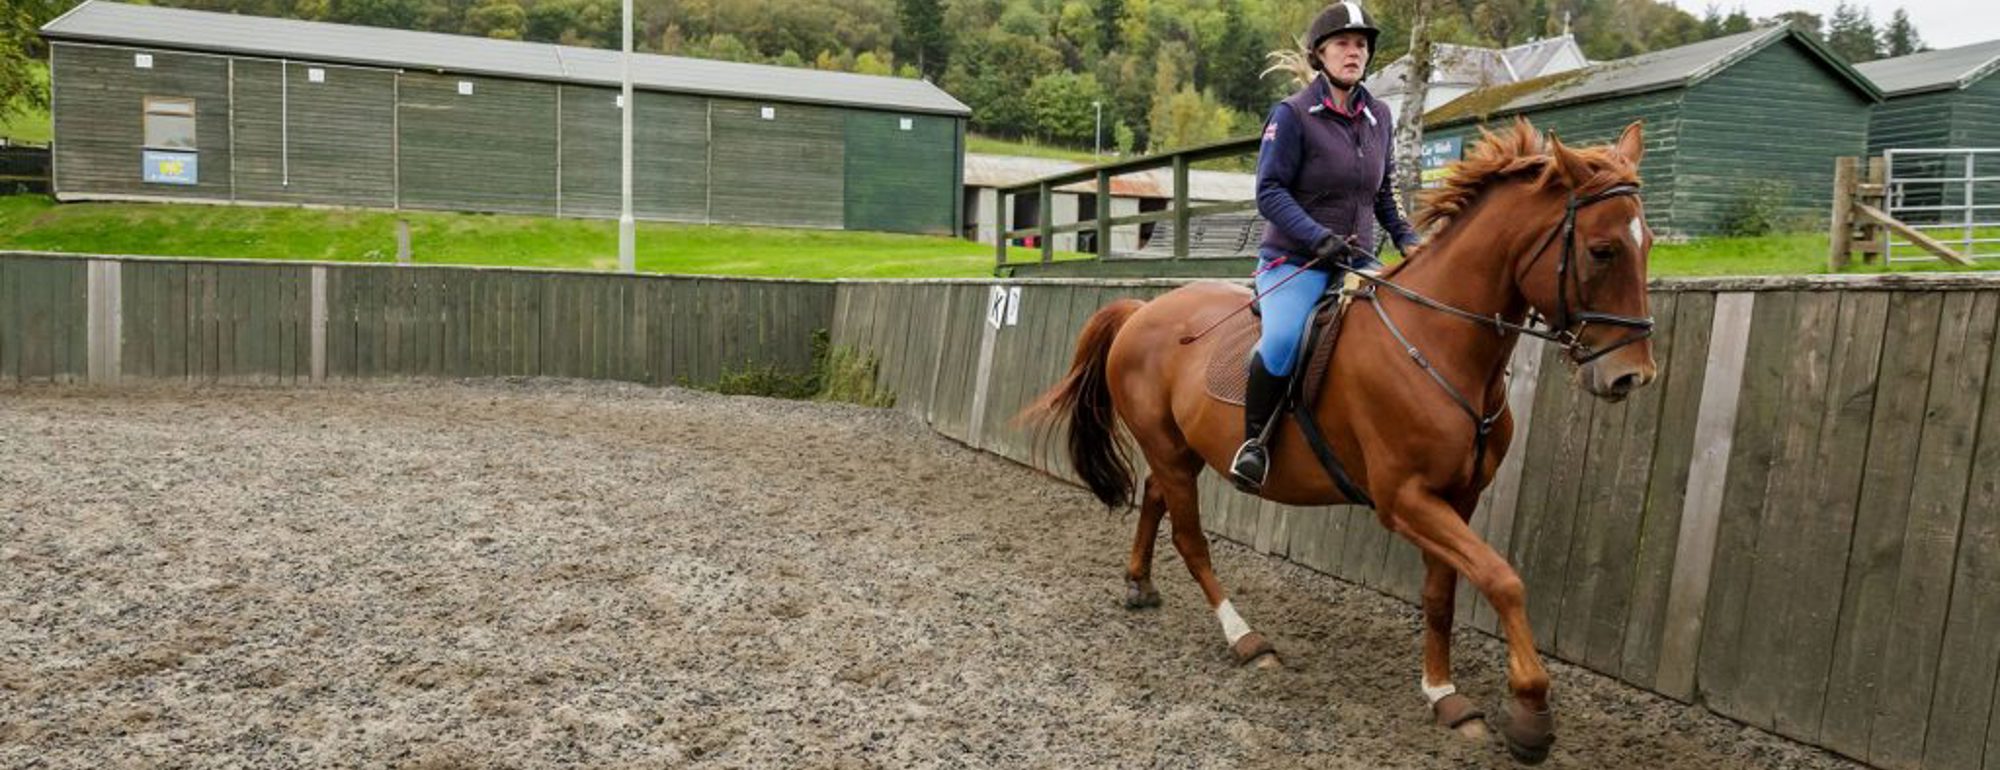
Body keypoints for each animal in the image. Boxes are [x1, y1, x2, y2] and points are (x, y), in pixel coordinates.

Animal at [1024, 121, 1664, 760]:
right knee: (1190, 538)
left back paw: (1140, 583)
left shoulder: (1456, 498)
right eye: (1602, 250)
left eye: (1649, 243)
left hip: (1181, 451)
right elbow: (1503, 579)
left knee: (1156, 498)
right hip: (1170, 450)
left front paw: (1443, 693)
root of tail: (1143, 309)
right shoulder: (1404, 499)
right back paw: (1245, 638)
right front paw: (1531, 711)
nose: (1630, 376)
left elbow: (1443, 594)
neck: (1439, 343)